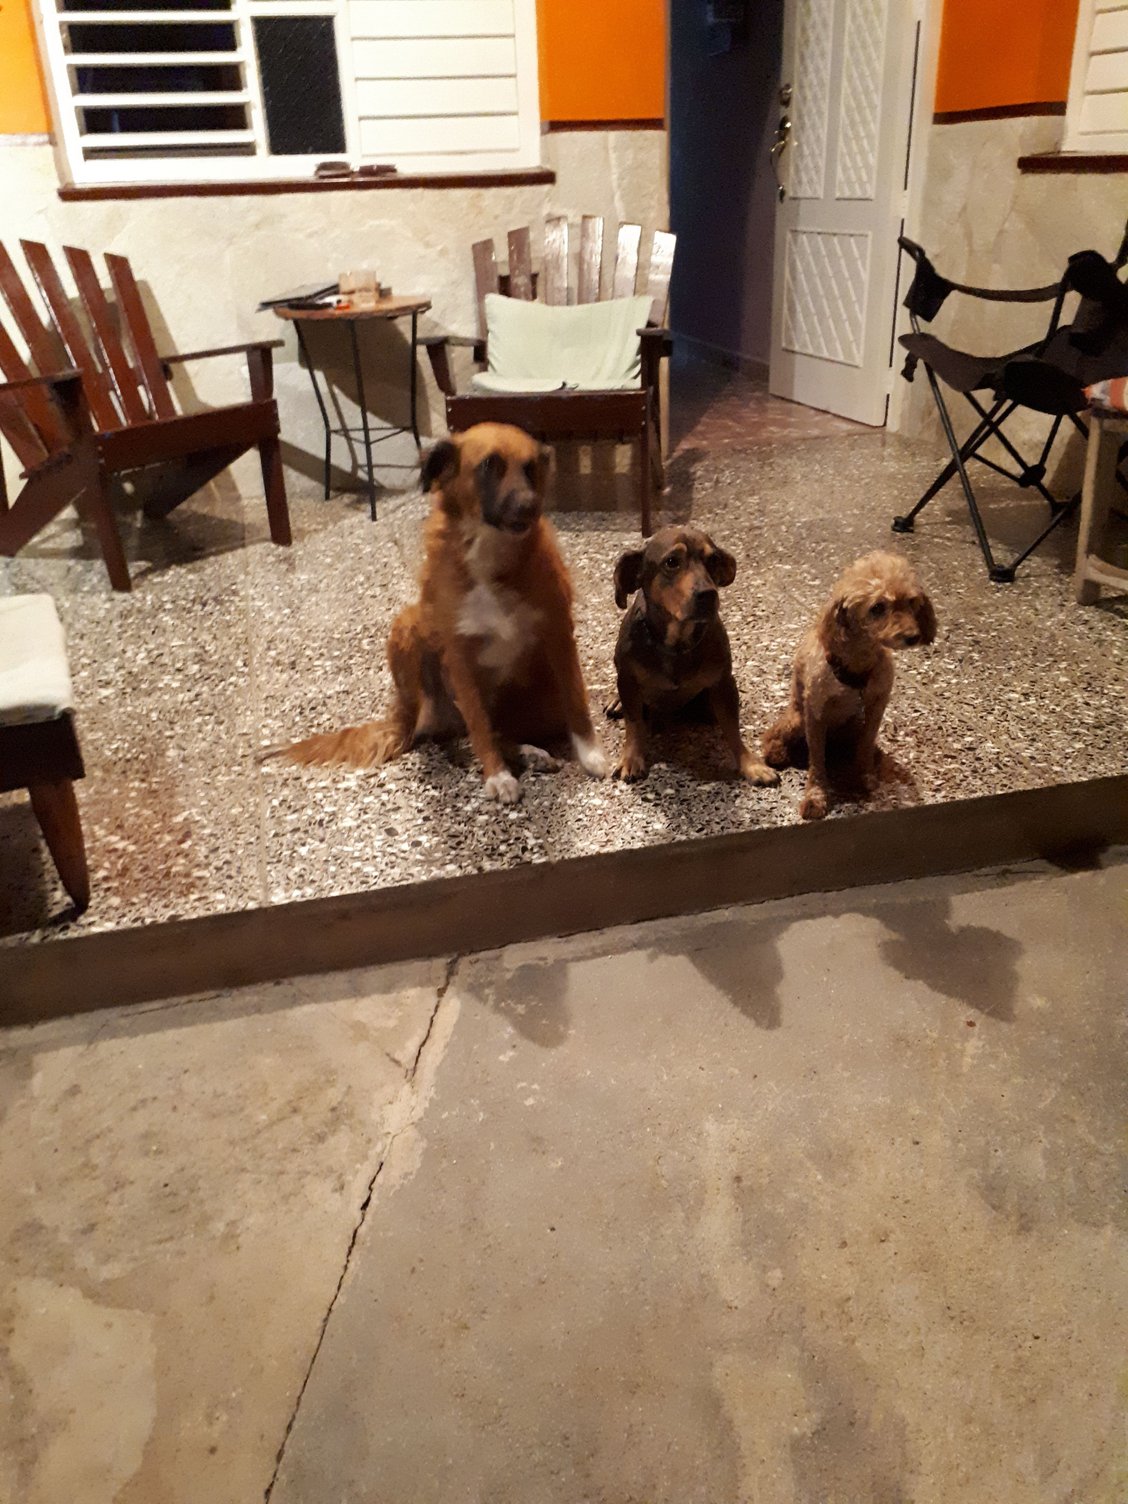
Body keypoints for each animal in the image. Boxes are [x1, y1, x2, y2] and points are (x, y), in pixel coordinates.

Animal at [281, 423, 608, 803]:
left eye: (530, 469)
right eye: (489, 465)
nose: (530, 506)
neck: (489, 553)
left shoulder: (559, 633)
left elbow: (577, 703)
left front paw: (591, 755)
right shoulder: (459, 655)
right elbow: (479, 725)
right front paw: (497, 775)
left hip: (541, 696)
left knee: (495, 730)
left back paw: (529, 752)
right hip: (408, 627)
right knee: (446, 735)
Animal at [609, 525, 780, 786]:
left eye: (713, 559)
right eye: (671, 562)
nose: (708, 594)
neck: (676, 643)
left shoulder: (724, 683)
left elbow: (732, 729)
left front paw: (751, 764)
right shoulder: (627, 680)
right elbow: (634, 723)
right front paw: (631, 758)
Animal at [761, 551, 936, 820]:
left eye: (911, 602)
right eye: (877, 608)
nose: (912, 636)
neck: (858, 666)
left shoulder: (875, 708)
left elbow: (864, 748)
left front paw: (864, 776)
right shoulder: (815, 714)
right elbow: (817, 762)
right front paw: (816, 796)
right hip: (797, 719)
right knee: (774, 734)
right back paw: (776, 751)